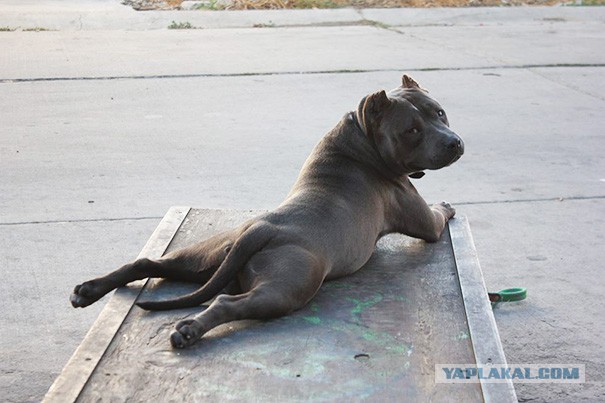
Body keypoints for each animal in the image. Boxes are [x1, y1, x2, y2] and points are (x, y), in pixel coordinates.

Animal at [73, 76, 464, 350]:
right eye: (411, 130)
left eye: (440, 112)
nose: (454, 142)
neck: (362, 139)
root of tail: (261, 230)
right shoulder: (423, 221)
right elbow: (437, 217)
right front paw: (446, 205)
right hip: (286, 286)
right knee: (228, 302)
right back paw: (190, 330)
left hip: (203, 257)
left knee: (148, 263)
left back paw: (90, 290)